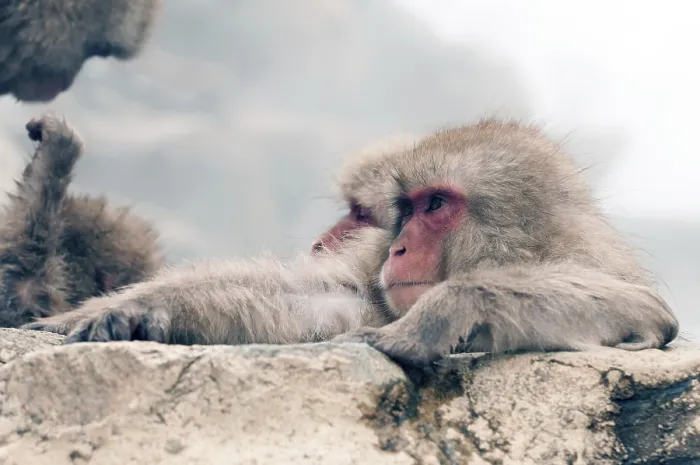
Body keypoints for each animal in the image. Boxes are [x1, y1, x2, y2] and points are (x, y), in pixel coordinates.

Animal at [23, 119, 679, 369]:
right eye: (406, 209)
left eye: (435, 206)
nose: (399, 249)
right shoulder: (371, 269)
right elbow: (322, 302)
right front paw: (134, 310)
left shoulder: (591, 261)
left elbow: (647, 313)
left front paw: (436, 319)